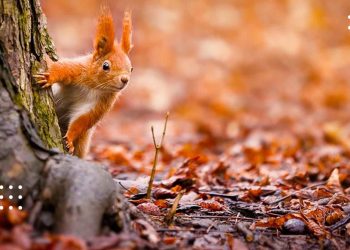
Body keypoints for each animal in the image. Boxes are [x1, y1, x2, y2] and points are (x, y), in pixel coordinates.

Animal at [33, 9, 133, 158]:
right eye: (105, 66)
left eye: (131, 68)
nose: (125, 79)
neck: (94, 86)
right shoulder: (77, 70)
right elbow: (62, 68)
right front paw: (49, 77)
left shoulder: (101, 103)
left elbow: (82, 120)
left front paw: (69, 139)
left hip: (82, 142)